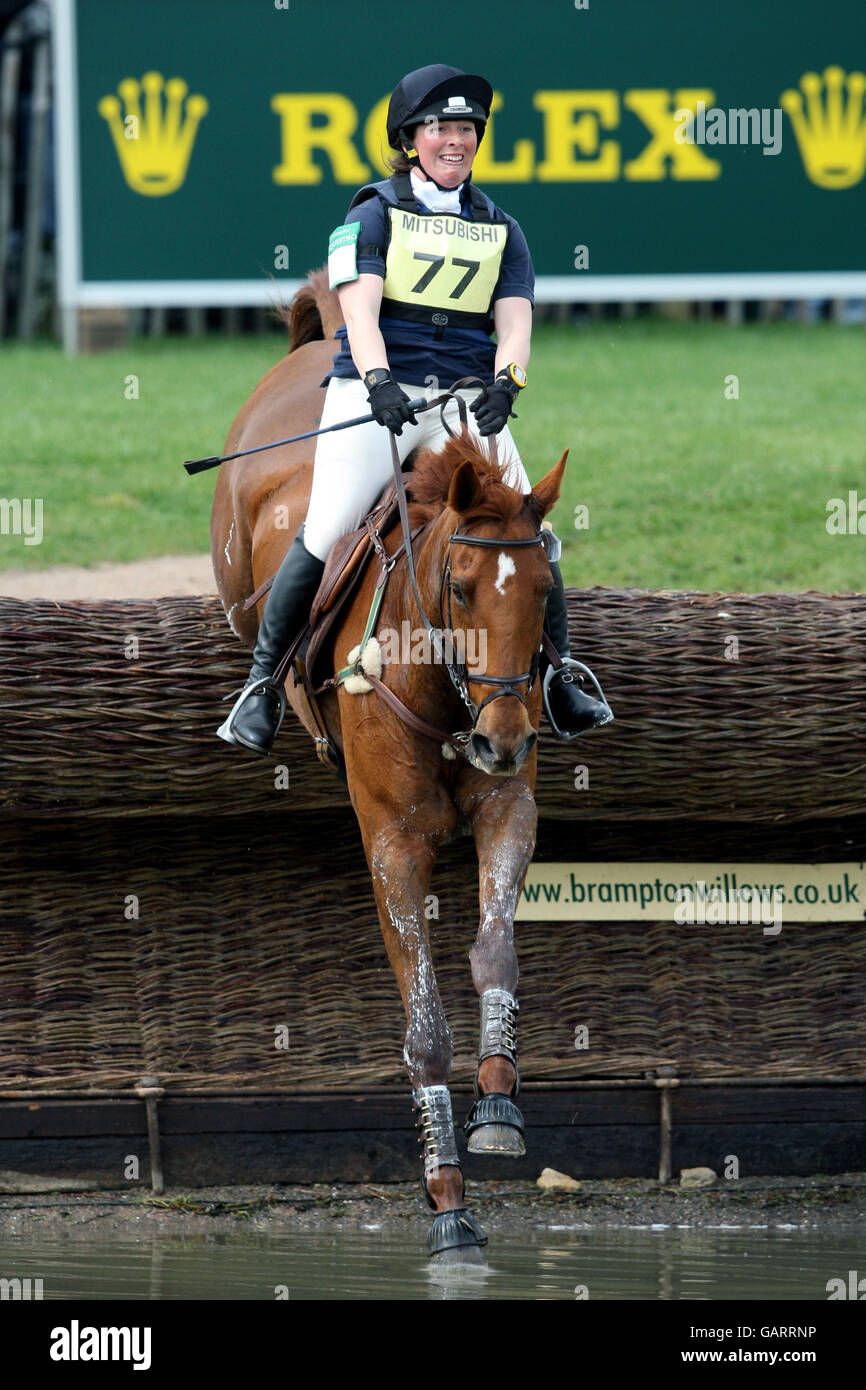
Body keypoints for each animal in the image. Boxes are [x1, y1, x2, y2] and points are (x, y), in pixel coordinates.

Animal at [211, 271, 569, 1262]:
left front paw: (498, 1105)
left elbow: (496, 949)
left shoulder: (508, 813)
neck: (445, 696)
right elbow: (423, 1028)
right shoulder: (393, 847)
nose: (505, 739)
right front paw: (446, 1200)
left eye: (544, 589)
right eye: (460, 588)